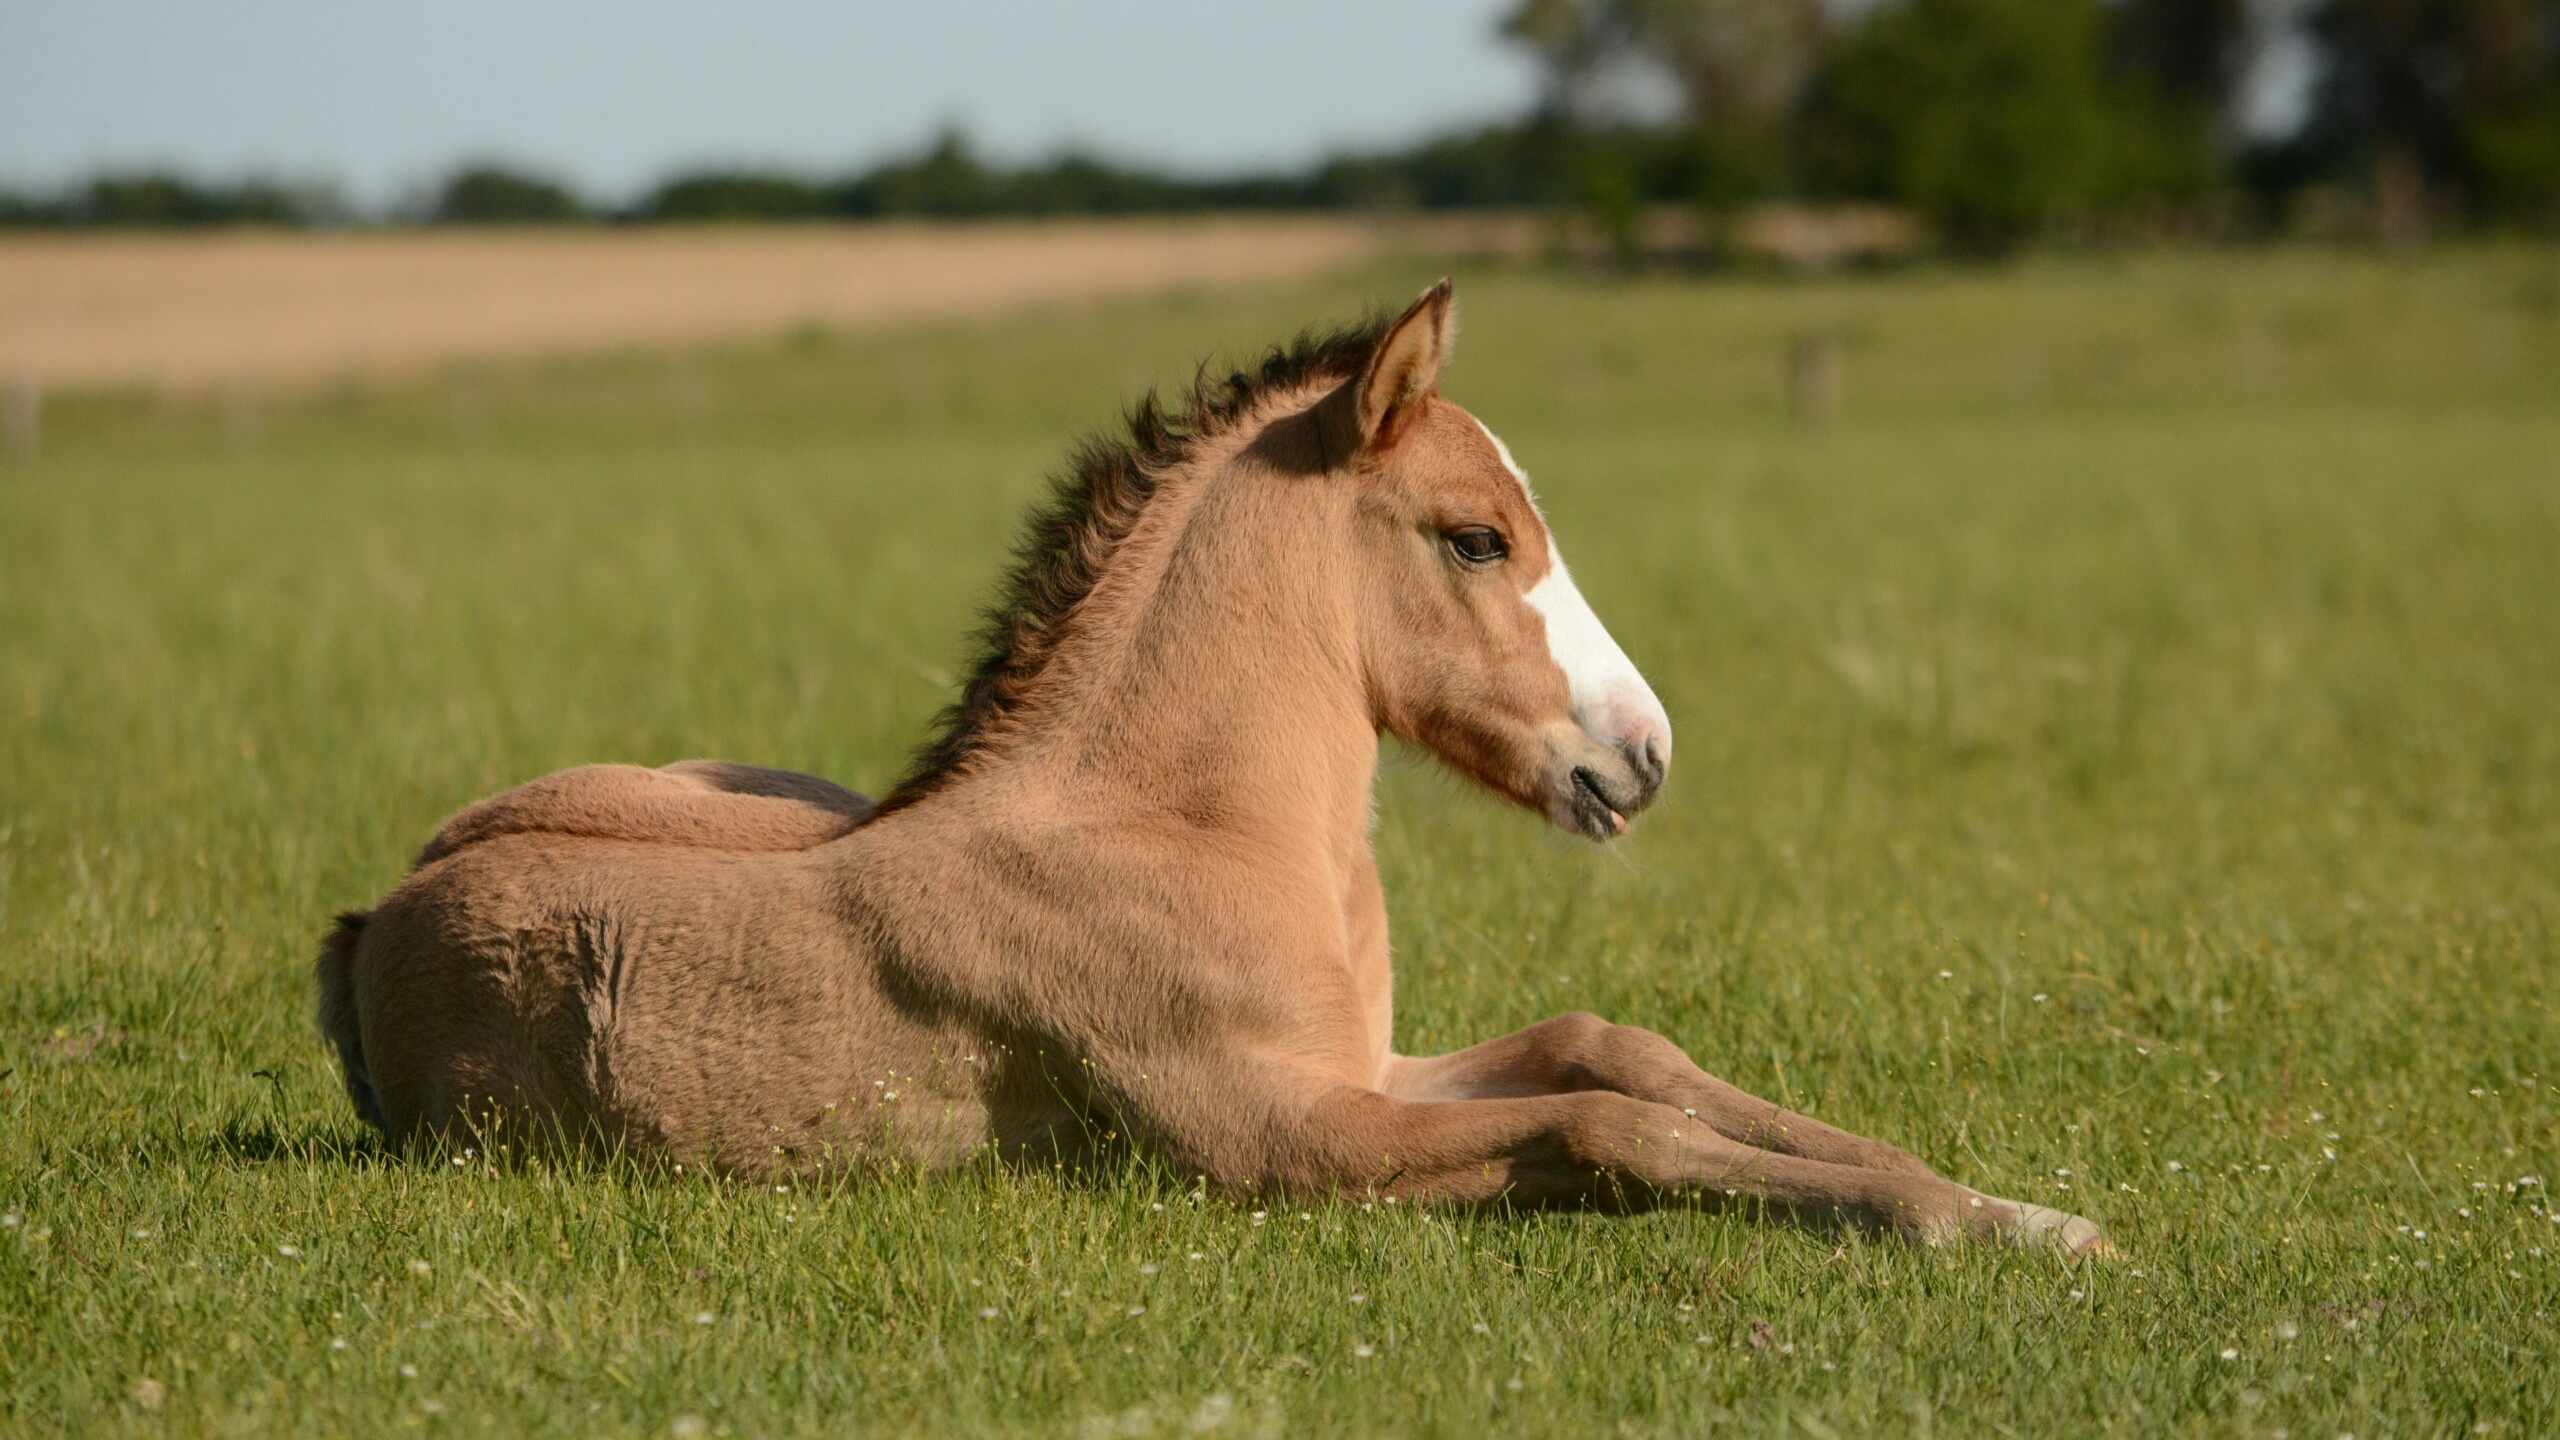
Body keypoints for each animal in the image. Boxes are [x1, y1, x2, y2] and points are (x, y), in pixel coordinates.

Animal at [320, 278, 2109, 1245]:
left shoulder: (1366, 1067)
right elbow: (1613, 1128)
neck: (1184, 829)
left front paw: (2007, 1204)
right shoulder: (1282, 1137)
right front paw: (1976, 1225)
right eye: (1476, 535)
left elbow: (1620, 1051)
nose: (1644, 753)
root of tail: (370, 917)